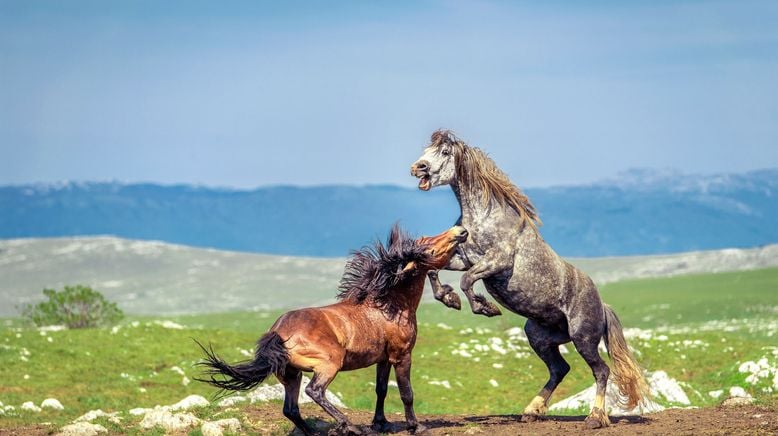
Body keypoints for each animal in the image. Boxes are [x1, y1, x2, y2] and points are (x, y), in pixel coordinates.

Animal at [197, 227, 466, 434]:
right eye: (428, 247)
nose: (460, 231)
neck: (390, 306)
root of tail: (279, 332)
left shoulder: (383, 359)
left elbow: (380, 390)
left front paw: (380, 424)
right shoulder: (401, 356)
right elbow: (406, 393)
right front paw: (415, 426)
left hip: (290, 374)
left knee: (291, 408)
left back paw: (315, 432)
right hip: (328, 364)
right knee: (314, 391)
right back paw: (348, 426)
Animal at [410, 129, 644, 430]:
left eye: (445, 152)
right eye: (427, 149)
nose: (417, 168)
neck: (486, 217)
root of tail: (602, 306)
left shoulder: (496, 262)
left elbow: (467, 282)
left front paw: (485, 307)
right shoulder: (464, 258)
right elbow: (433, 270)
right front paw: (449, 299)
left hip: (583, 338)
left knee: (601, 370)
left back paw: (595, 417)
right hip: (539, 336)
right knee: (560, 369)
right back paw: (532, 411)